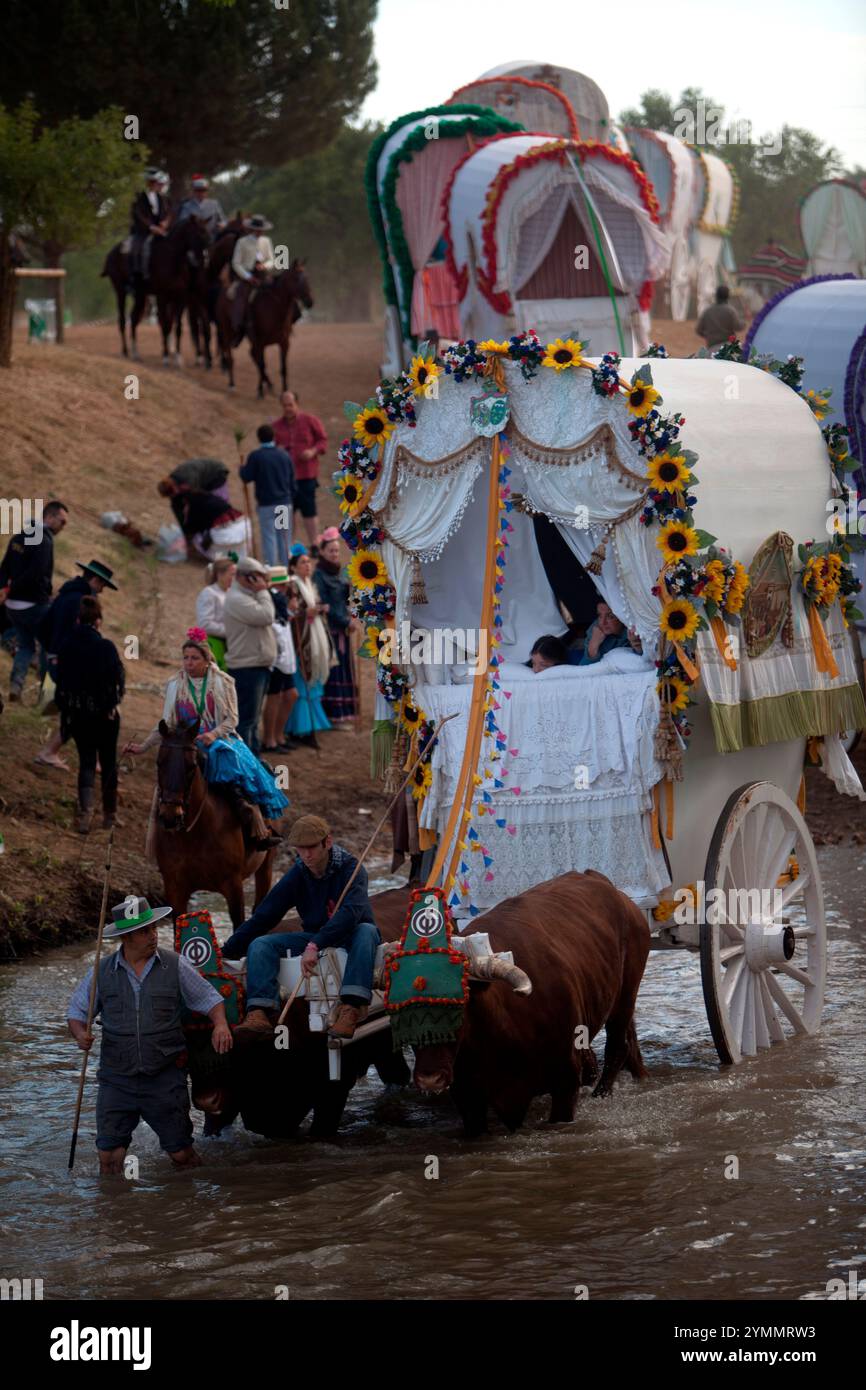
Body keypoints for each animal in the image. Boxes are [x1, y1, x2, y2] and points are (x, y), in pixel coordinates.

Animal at [154, 722, 276, 928]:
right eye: (159, 763)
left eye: (191, 766)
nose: (171, 815)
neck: (193, 836)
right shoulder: (174, 888)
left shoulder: (234, 885)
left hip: (266, 864)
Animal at [215, 259, 312, 397]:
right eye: (296, 278)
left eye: (307, 277)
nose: (310, 301)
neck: (273, 308)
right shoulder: (260, 341)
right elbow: (262, 363)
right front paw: (260, 391)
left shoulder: (284, 343)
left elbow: (283, 368)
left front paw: (285, 391)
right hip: (227, 330)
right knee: (230, 356)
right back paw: (232, 384)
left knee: (251, 354)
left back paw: (269, 384)